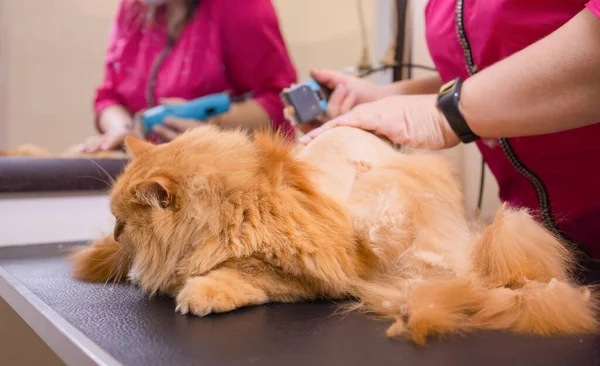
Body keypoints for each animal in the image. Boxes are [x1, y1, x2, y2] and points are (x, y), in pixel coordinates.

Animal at [70, 125, 596, 344]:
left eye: (122, 222)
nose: (114, 234)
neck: (230, 204)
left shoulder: (308, 272)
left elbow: (243, 274)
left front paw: (200, 291)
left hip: (385, 208)